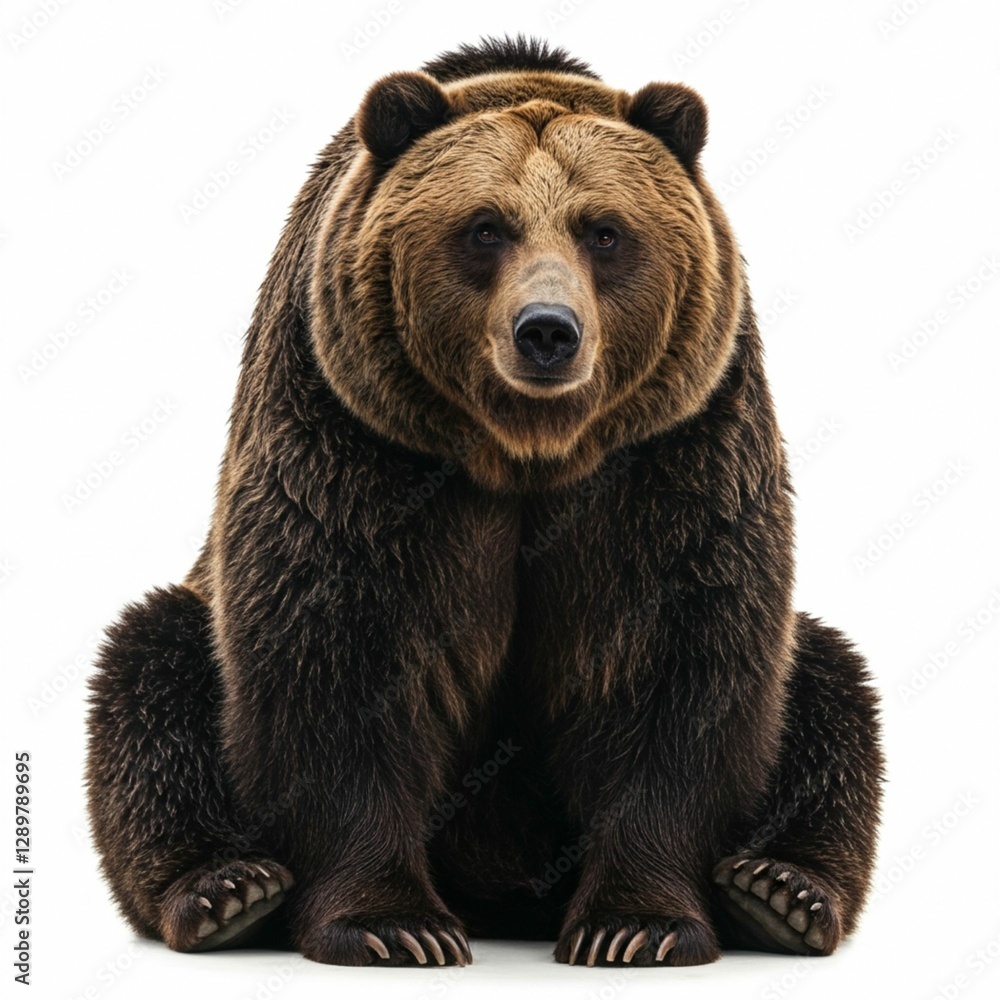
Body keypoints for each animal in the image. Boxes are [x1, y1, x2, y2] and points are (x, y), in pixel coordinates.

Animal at [86, 36, 884, 968]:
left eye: (603, 231)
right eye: (485, 228)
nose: (546, 331)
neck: (525, 452)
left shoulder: (673, 449)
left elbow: (675, 666)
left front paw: (636, 925)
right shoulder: (359, 442)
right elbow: (336, 662)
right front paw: (393, 924)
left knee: (831, 687)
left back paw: (781, 890)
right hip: (195, 629)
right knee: (151, 675)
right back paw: (225, 890)